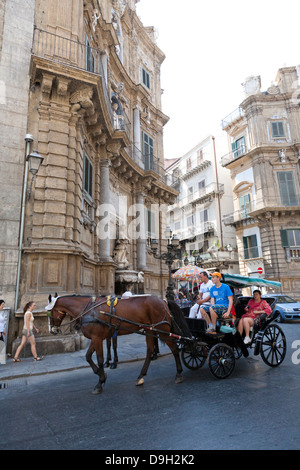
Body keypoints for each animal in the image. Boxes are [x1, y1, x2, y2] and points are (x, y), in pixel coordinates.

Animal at [46, 294, 190, 392]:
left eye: (49, 312)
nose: (52, 330)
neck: (89, 310)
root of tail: (163, 300)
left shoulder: (97, 337)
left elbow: (99, 359)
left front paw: (100, 382)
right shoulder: (96, 338)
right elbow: (88, 356)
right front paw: (100, 374)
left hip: (162, 331)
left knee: (175, 349)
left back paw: (178, 374)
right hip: (151, 330)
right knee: (149, 352)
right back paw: (141, 376)